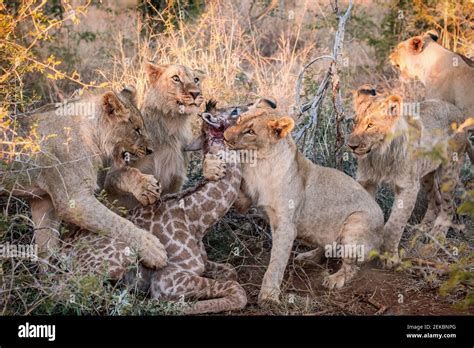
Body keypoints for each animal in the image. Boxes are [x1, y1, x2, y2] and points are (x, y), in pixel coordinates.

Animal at [0, 85, 167, 268]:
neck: (91, 134)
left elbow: (46, 244)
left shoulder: (43, 201)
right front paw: (152, 249)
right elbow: (116, 222)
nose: (151, 150)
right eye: (136, 129)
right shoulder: (74, 200)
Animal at [223, 101, 386, 304]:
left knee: (351, 266)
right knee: (328, 246)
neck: (258, 164)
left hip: (355, 224)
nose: (224, 136)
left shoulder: (285, 226)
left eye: (250, 132)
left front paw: (269, 295)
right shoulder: (245, 201)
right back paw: (308, 256)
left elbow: (276, 262)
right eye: (238, 120)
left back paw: (334, 279)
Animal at [348, 85, 470, 266]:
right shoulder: (366, 181)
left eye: (370, 125)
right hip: (426, 175)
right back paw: (422, 230)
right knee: (435, 202)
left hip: (448, 171)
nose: (351, 146)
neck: (379, 154)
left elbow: (394, 224)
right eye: (354, 122)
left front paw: (390, 257)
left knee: (448, 208)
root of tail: (459, 112)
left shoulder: (407, 187)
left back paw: (434, 241)